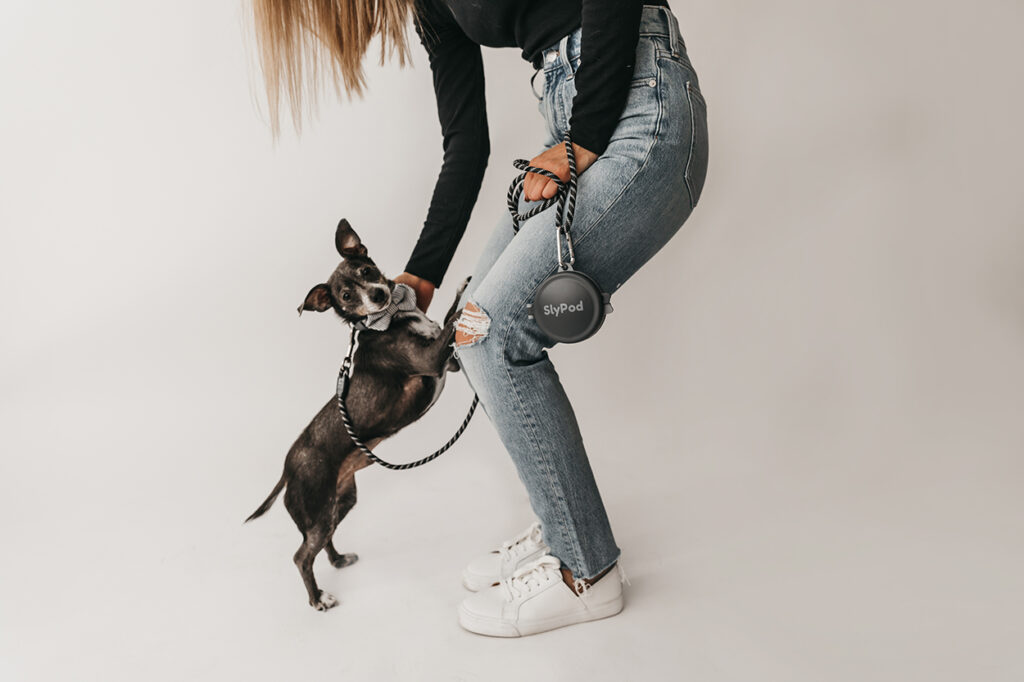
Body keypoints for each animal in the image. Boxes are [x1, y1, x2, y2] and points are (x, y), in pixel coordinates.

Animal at [243, 219, 468, 610]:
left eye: (366, 271)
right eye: (346, 297)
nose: (377, 295)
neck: (392, 318)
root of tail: (287, 469)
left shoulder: (446, 363)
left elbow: (446, 326)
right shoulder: (430, 361)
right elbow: (452, 315)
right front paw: (463, 288)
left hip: (339, 503)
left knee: (320, 543)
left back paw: (338, 560)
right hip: (318, 510)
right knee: (301, 555)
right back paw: (318, 599)